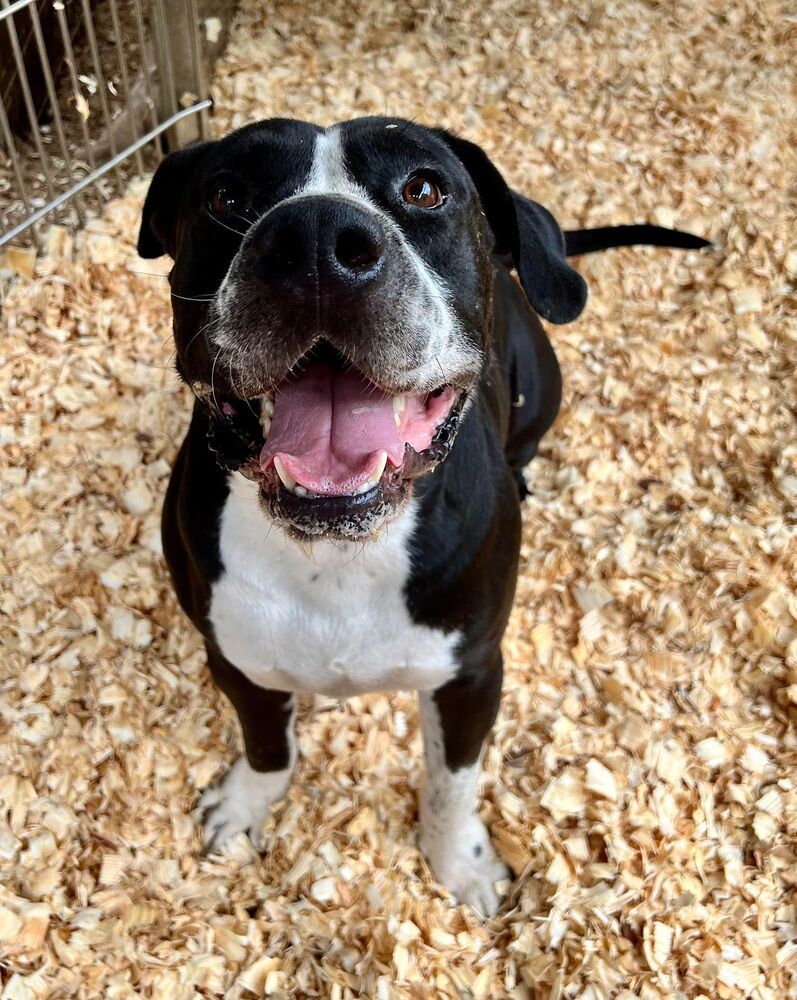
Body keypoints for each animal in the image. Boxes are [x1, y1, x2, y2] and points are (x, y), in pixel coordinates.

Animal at [138, 117, 708, 916]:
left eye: (425, 189)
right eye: (226, 195)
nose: (316, 239)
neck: (338, 552)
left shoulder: (470, 674)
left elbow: (451, 781)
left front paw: (459, 862)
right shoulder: (235, 659)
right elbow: (267, 747)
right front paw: (247, 806)